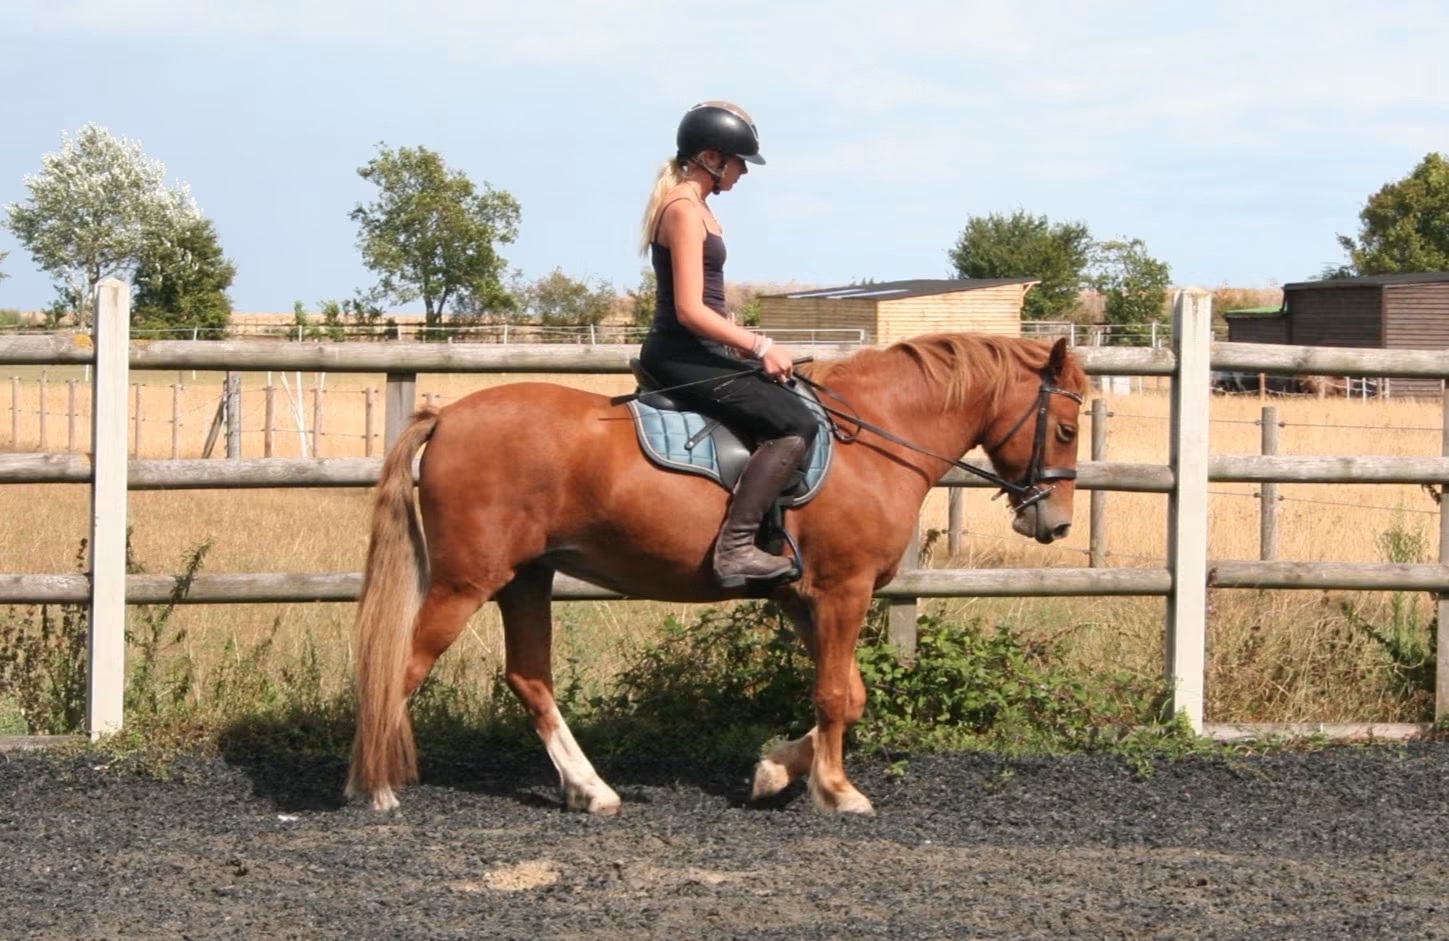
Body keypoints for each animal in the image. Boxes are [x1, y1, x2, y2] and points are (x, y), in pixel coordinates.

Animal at [345, 332, 1088, 815]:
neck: (875, 440)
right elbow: (835, 696)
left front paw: (773, 773)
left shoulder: (804, 599)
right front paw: (836, 790)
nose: (1054, 523)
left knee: (529, 679)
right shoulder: (840, 591)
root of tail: (446, 416)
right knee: (400, 666)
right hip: (465, 583)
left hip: (525, 579)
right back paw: (370, 785)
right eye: (1067, 428)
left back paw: (591, 790)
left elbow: (848, 692)